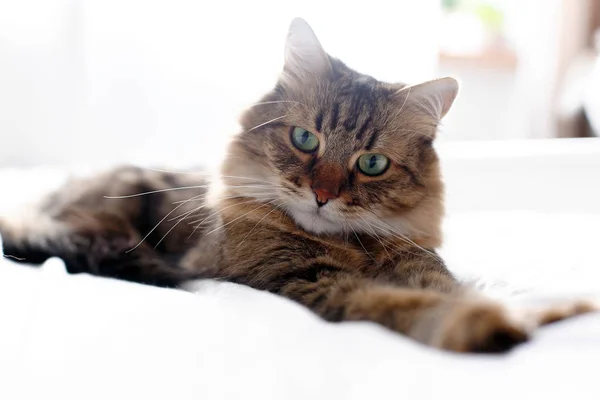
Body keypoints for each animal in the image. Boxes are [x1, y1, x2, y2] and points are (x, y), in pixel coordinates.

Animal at [2, 18, 596, 354]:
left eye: (372, 163)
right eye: (305, 139)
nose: (323, 195)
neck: (352, 249)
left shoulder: (422, 267)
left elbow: (457, 290)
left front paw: (543, 311)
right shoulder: (309, 280)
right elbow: (404, 304)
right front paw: (485, 325)